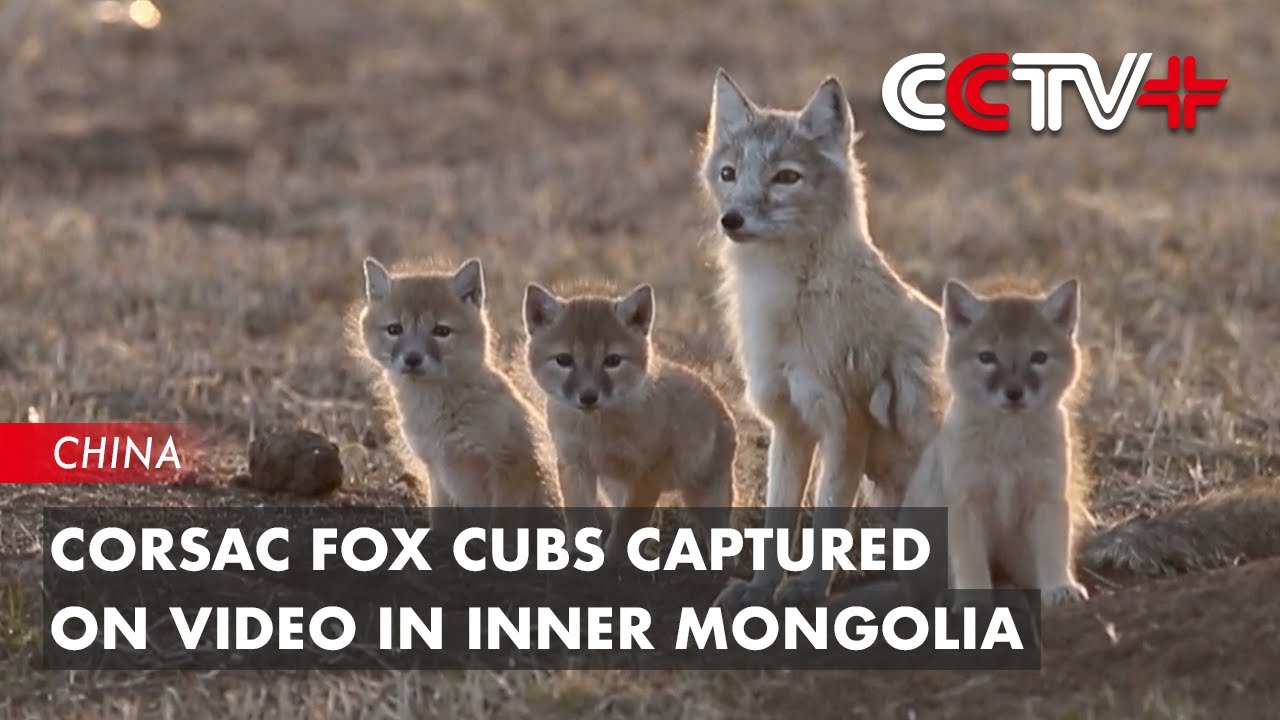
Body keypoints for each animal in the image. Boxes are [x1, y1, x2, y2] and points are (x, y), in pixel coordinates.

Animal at [354, 256, 560, 529]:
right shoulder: (438, 473)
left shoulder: (514, 466)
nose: (412, 358)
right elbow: (441, 524)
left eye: (441, 331)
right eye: (394, 329)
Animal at [523, 282, 737, 561]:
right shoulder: (574, 464)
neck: (596, 430)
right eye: (564, 360)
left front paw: (612, 560)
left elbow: (628, 525)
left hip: (705, 498)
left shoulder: (647, 475)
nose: (588, 397)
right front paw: (581, 557)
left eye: (613, 361)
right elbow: (581, 520)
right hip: (615, 488)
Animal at [699, 69, 946, 609]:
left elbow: (828, 515)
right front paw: (761, 588)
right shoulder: (789, 422)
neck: (788, 300)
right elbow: (778, 522)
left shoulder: (846, 419)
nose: (732, 219)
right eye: (729, 174)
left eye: (785, 178)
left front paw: (810, 588)